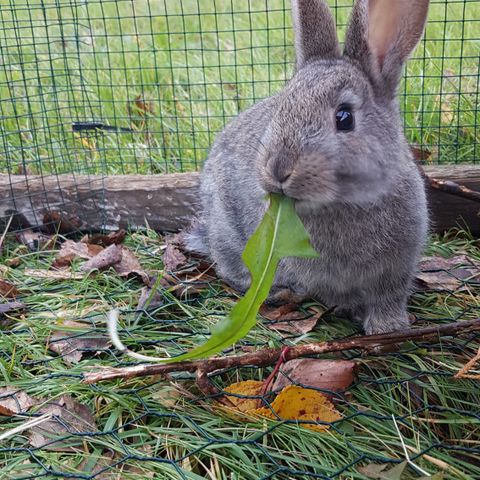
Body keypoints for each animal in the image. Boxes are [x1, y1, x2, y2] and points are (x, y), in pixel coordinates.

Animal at [186, 0, 430, 334]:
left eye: (344, 117)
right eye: (281, 106)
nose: (278, 169)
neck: (347, 202)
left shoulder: (396, 268)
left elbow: (388, 296)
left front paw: (388, 326)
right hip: (229, 231)